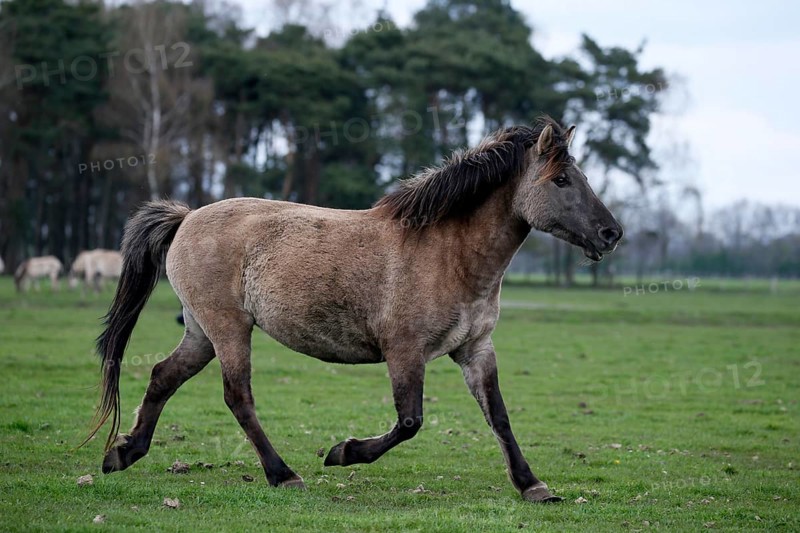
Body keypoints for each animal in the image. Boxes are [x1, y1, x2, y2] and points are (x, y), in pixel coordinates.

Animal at [88, 117, 622, 503]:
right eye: (560, 180)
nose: (611, 234)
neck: (448, 252)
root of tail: (186, 217)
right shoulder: (404, 351)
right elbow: (410, 422)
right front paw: (342, 453)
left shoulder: (475, 350)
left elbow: (500, 417)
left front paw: (533, 485)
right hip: (229, 329)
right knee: (238, 397)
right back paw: (284, 475)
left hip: (201, 332)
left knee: (162, 375)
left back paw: (124, 453)